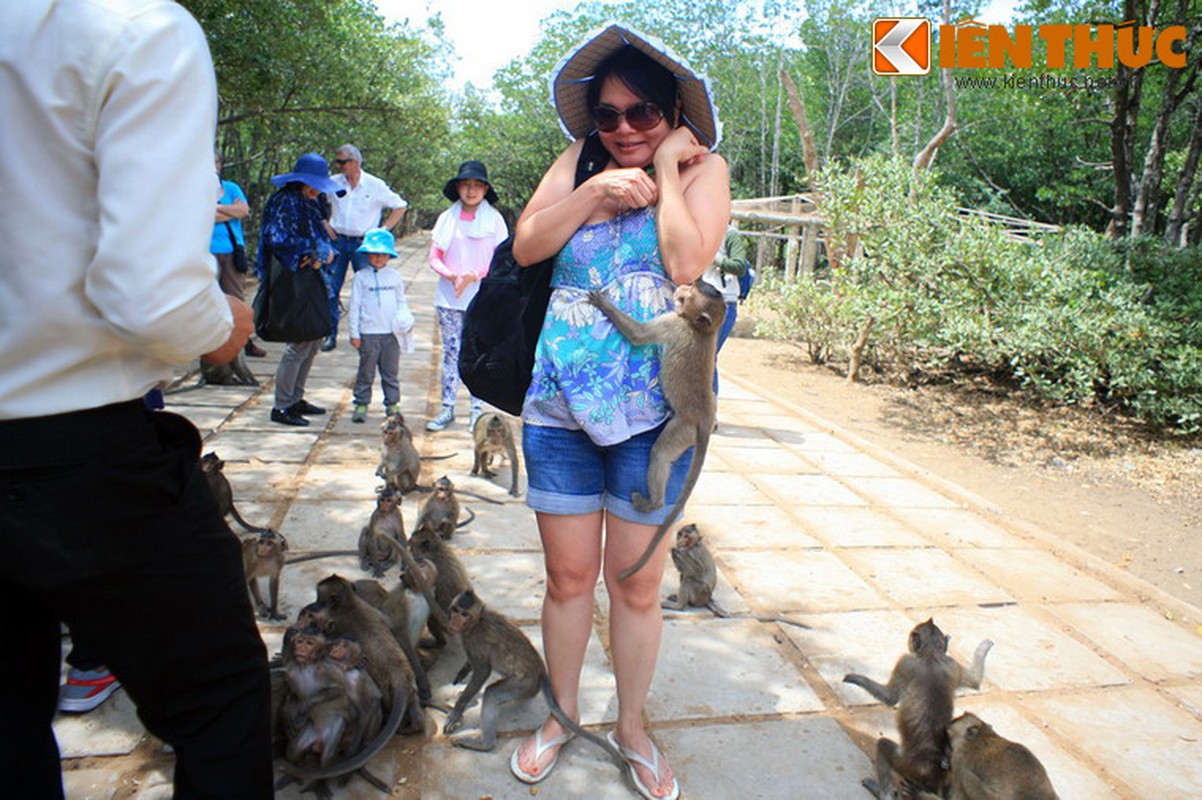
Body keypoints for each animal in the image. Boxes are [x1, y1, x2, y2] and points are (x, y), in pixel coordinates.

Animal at [584, 282, 721, 578]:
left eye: (692, 294)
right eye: (697, 287)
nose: (687, 285)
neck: (702, 330)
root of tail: (705, 419)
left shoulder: (672, 323)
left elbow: (638, 335)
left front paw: (604, 304)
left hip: (684, 428)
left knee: (660, 453)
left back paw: (654, 503)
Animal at [663, 523, 812, 629]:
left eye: (686, 537)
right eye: (681, 534)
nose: (680, 541)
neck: (692, 545)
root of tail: (707, 598)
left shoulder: (694, 552)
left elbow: (695, 570)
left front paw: (677, 550)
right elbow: (681, 569)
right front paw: (675, 549)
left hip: (700, 593)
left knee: (689, 580)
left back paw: (679, 606)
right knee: (683, 576)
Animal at [841, 615, 990, 797]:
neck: (930, 655)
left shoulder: (905, 663)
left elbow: (889, 698)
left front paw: (857, 679)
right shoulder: (951, 664)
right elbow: (975, 681)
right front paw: (985, 646)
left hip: (905, 764)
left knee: (883, 746)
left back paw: (883, 793)